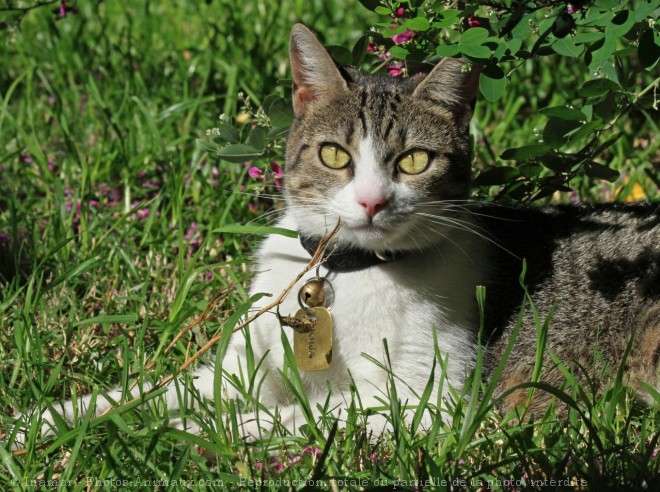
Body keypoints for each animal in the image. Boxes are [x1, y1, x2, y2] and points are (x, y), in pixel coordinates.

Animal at [10, 22, 660, 446]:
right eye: (333, 154)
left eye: (414, 162)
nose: (372, 200)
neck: (345, 273)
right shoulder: (235, 366)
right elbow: (139, 394)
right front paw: (37, 423)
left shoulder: (431, 399)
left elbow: (297, 415)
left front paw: (184, 432)